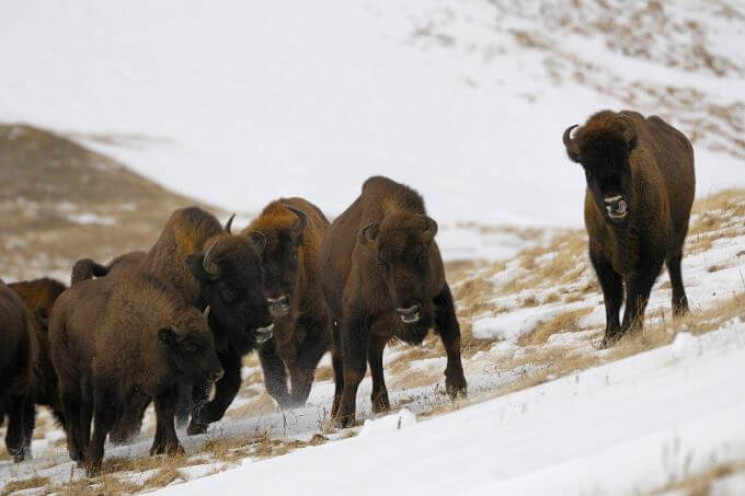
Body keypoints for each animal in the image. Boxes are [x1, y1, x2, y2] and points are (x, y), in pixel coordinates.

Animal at [49, 272, 222, 476]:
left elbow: (165, 414)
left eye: (210, 339)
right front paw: (94, 467)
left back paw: (83, 455)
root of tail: (60, 304)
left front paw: (175, 450)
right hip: (69, 376)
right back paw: (78, 454)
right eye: (191, 345)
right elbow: (102, 420)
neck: (148, 330)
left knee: (84, 410)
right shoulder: (107, 385)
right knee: (72, 407)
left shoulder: (161, 384)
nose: (218, 372)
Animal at [244, 197, 332, 406]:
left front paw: (297, 400)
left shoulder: (323, 327)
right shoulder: (265, 339)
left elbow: (303, 368)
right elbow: (274, 379)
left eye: (292, 253)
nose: (277, 302)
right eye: (257, 266)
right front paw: (288, 403)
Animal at [318, 177, 464, 426]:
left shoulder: (440, 296)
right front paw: (345, 419)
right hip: (338, 326)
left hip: (377, 331)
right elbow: (354, 370)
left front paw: (457, 388)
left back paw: (381, 404)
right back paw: (337, 412)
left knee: (375, 359)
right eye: (382, 263)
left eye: (421, 256)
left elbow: (452, 339)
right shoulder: (354, 319)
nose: (409, 309)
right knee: (341, 364)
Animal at [560, 109, 696, 344]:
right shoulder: (600, 253)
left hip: (679, 230)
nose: (614, 203)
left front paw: (628, 332)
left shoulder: (650, 253)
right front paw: (609, 339)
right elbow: (613, 296)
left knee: (674, 265)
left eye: (623, 158)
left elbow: (637, 292)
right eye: (587, 166)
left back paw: (680, 309)